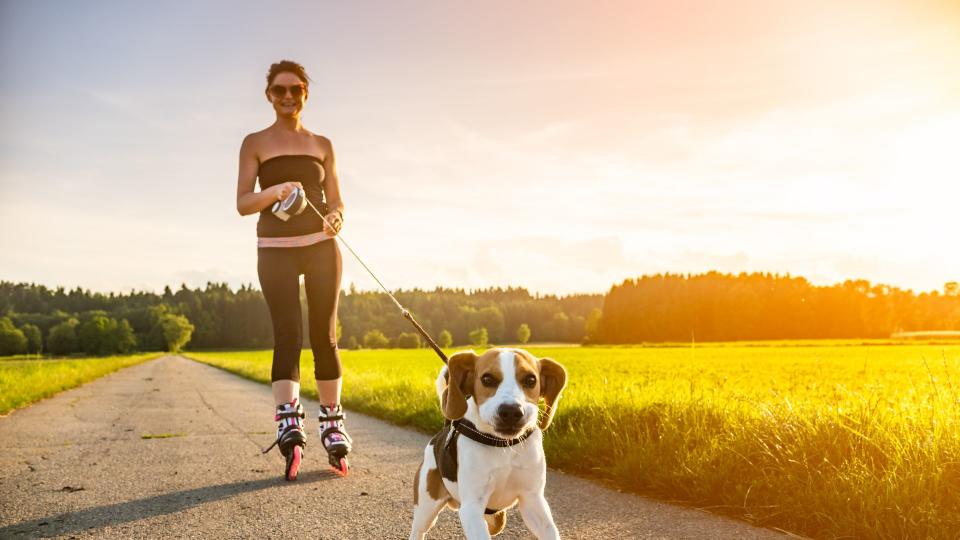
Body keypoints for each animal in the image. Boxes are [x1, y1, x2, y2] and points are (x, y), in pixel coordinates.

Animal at [408, 348, 568, 536]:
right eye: (487, 379)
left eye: (530, 380)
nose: (511, 411)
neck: (503, 445)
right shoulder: (471, 507)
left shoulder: (533, 500)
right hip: (426, 509)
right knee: (418, 529)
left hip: (496, 518)